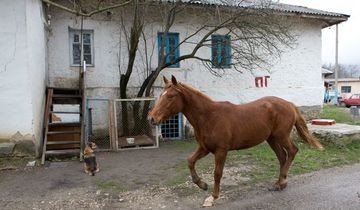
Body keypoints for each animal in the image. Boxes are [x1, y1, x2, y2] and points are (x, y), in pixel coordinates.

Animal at [148, 75, 322, 207]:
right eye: (161, 95)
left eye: (170, 96)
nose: (151, 118)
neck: (209, 117)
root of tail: (290, 104)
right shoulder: (204, 148)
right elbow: (190, 161)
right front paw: (202, 184)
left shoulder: (221, 150)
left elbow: (217, 173)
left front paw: (212, 197)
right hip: (272, 139)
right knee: (282, 157)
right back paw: (279, 184)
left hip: (282, 136)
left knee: (292, 151)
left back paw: (283, 180)